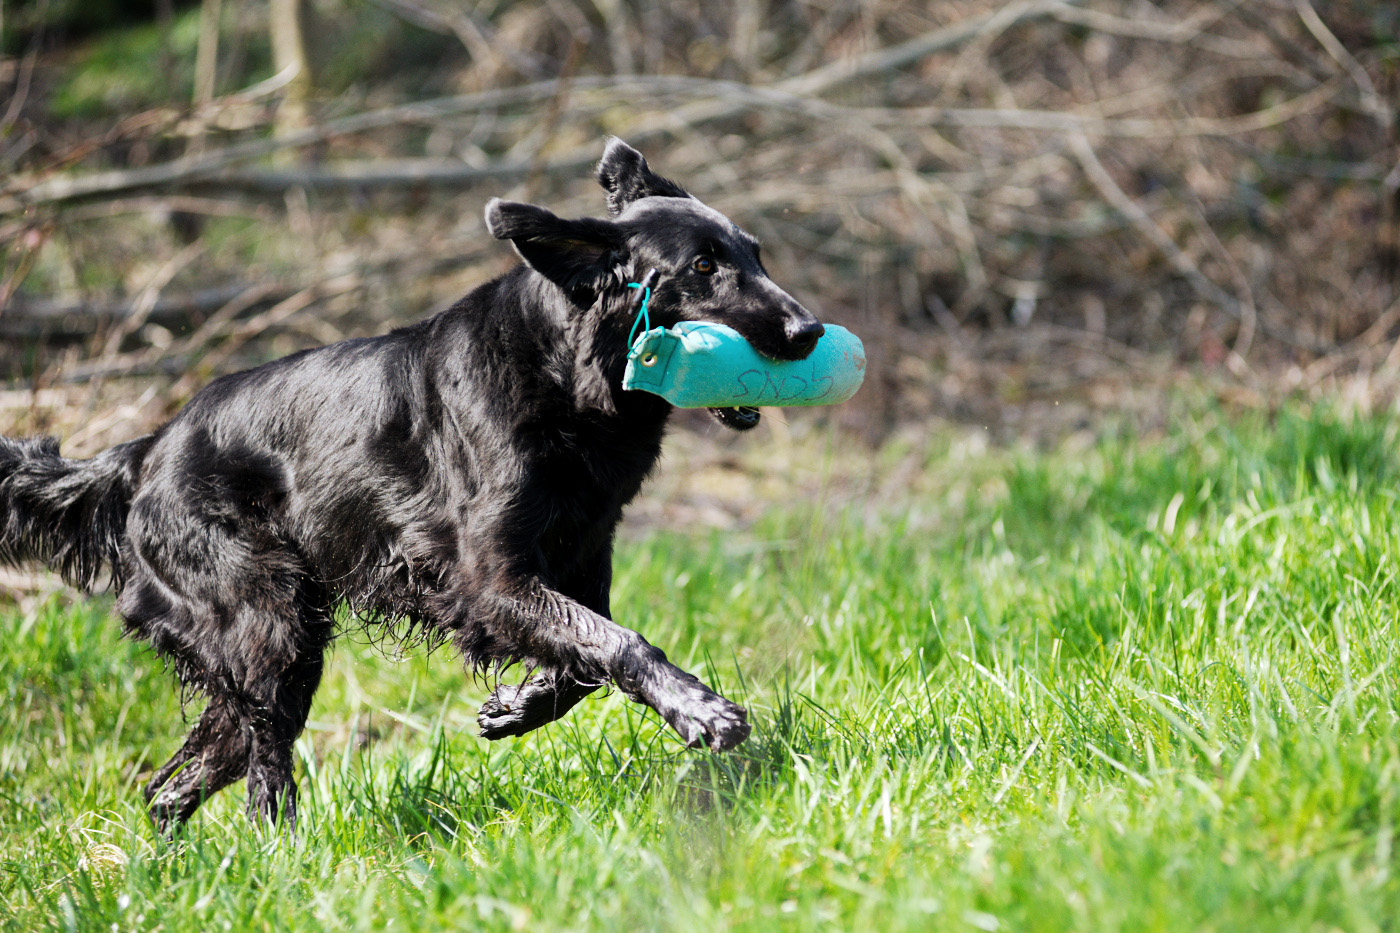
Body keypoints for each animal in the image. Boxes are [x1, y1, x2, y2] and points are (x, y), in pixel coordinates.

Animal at [0, 143, 823, 829]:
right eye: (704, 268)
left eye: (754, 253)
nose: (809, 331)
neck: (567, 378)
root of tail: (145, 453)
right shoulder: (488, 578)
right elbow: (621, 644)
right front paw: (700, 710)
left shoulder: (579, 562)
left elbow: (585, 659)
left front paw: (516, 708)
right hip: (267, 628)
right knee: (262, 763)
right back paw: (282, 848)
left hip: (272, 648)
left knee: (175, 782)